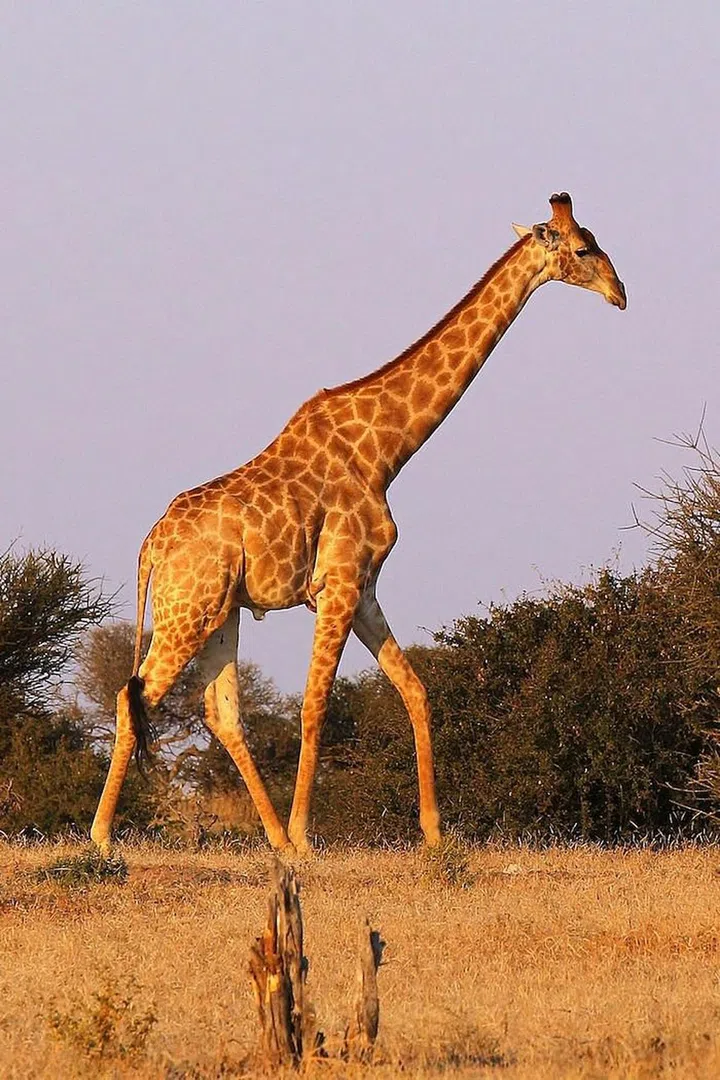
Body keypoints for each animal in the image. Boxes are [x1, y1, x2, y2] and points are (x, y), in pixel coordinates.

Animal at [91, 193, 626, 856]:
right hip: (185, 612)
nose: (621, 292)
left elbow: (415, 690)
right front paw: (308, 836)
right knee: (134, 694)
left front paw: (433, 833)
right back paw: (104, 838)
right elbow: (315, 704)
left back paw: (271, 838)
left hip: (220, 612)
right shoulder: (339, 582)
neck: (385, 451)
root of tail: (149, 548)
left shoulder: (366, 586)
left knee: (221, 712)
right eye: (583, 248)